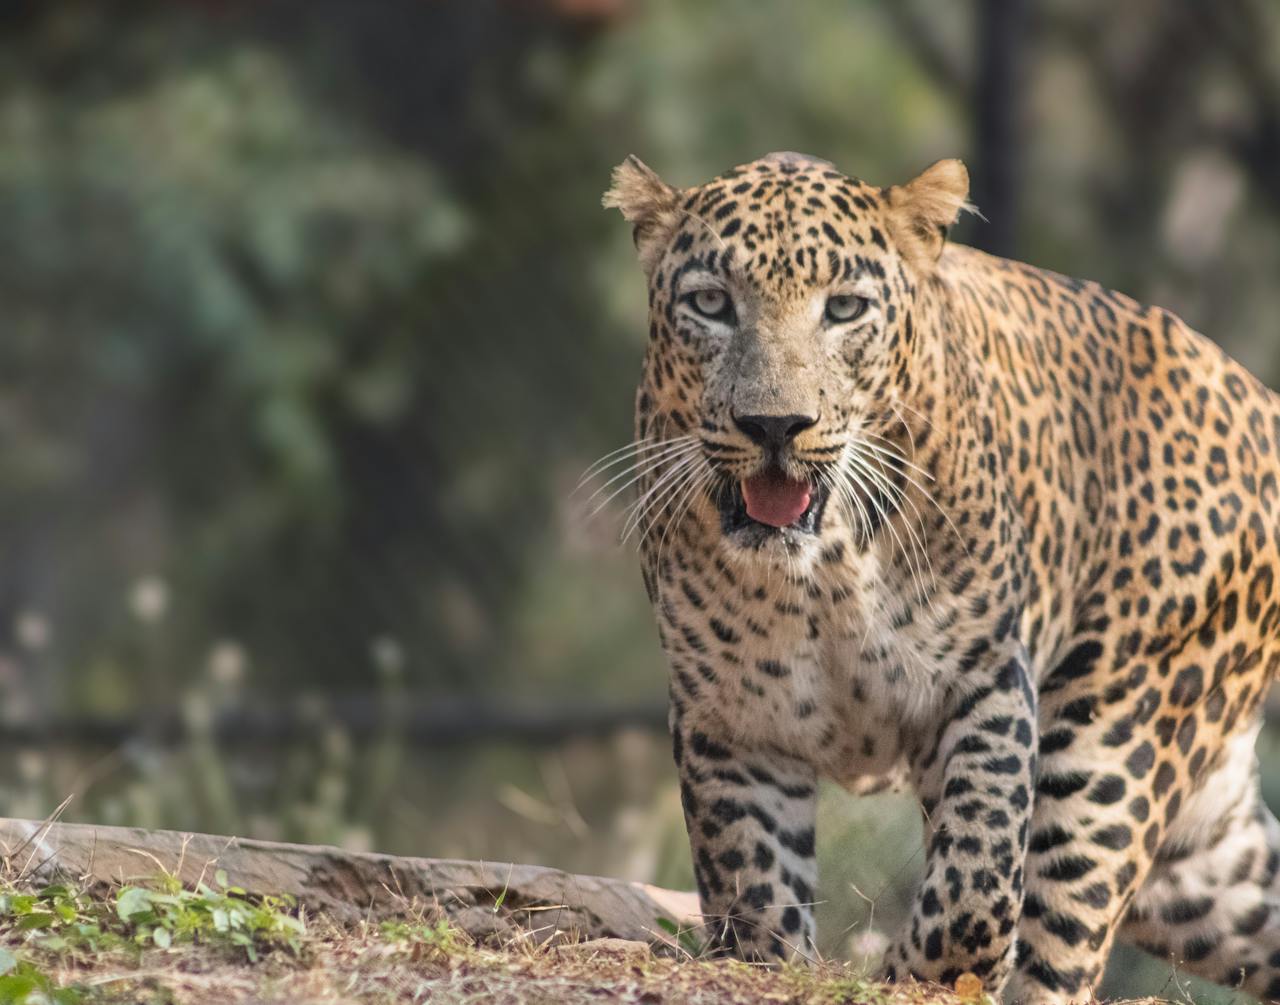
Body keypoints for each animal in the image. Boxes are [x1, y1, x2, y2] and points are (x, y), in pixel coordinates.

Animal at [600, 150, 1280, 1004]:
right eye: (712, 304)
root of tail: (1258, 397)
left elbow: (976, 877)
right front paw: (775, 960)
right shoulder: (731, 716)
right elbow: (751, 875)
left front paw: (918, 977)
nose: (774, 425)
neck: (819, 571)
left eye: (844, 308)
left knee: (1062, 936)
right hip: (1195, 862)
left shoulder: (983, 677)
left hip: (1118, 734)